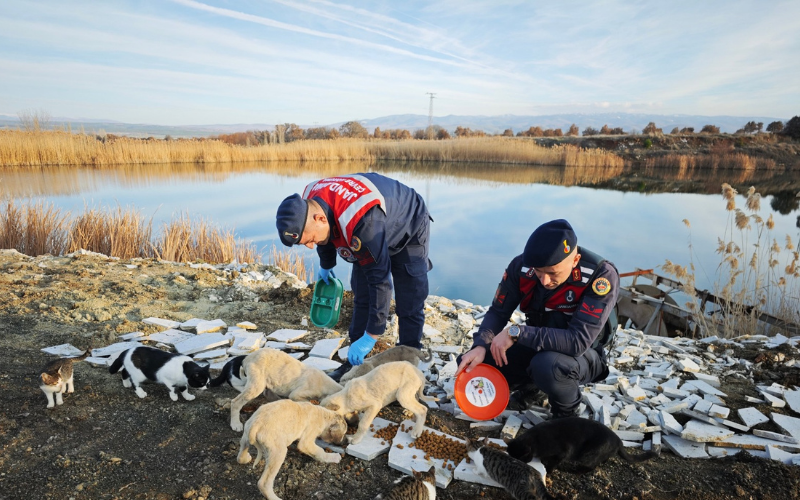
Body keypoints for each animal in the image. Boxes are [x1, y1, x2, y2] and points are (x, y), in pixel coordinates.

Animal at [510, 416, 660, 474]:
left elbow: (553, 463)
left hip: (588, 454)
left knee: (592, 466)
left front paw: (548, 469)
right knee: (603, 460)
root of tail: (619, 440)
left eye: (521, 458)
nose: (518, 463)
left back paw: (577, 471)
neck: (535, 440)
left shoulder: (563, 451)